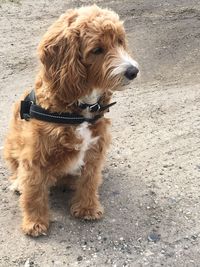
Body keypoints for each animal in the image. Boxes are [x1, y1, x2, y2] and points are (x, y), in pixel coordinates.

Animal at [3, 5, 138, 237]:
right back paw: (18, 183)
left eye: (120, 41)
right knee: (17, 172)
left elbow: (89, 182)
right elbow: (34, 192)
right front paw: (35, 222)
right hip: (10, 146)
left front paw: (87, 207)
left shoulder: (94, 151)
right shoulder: (35, 157)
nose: (133, 71)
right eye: (97, 49)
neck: (80, 107)